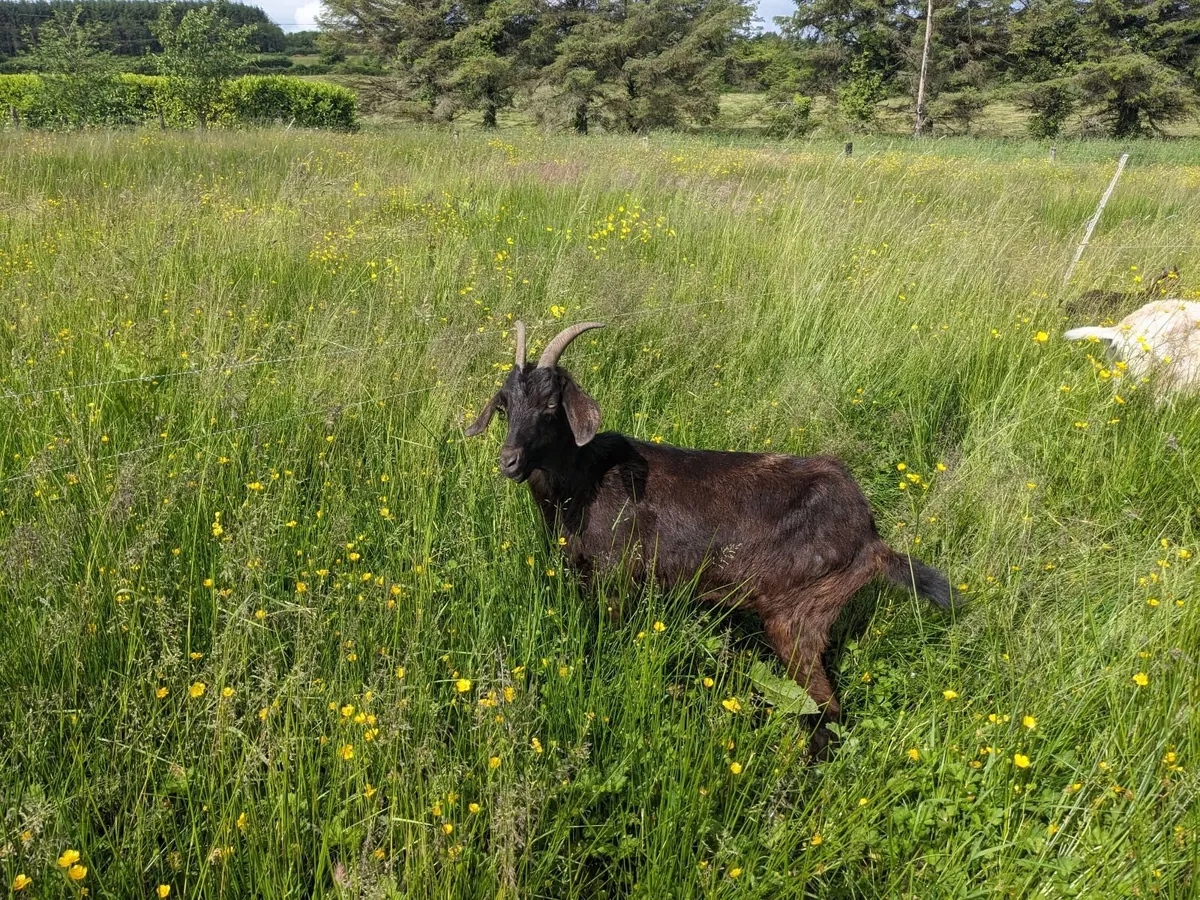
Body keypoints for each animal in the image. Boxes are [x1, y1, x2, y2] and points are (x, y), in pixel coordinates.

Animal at [465, 321, 955, 756]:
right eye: (504, 406)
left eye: (551, 405)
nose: (509, 461)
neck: (585, 480)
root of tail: (872, 540)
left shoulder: (616, 580)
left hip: (799, 616)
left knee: (826, 708)